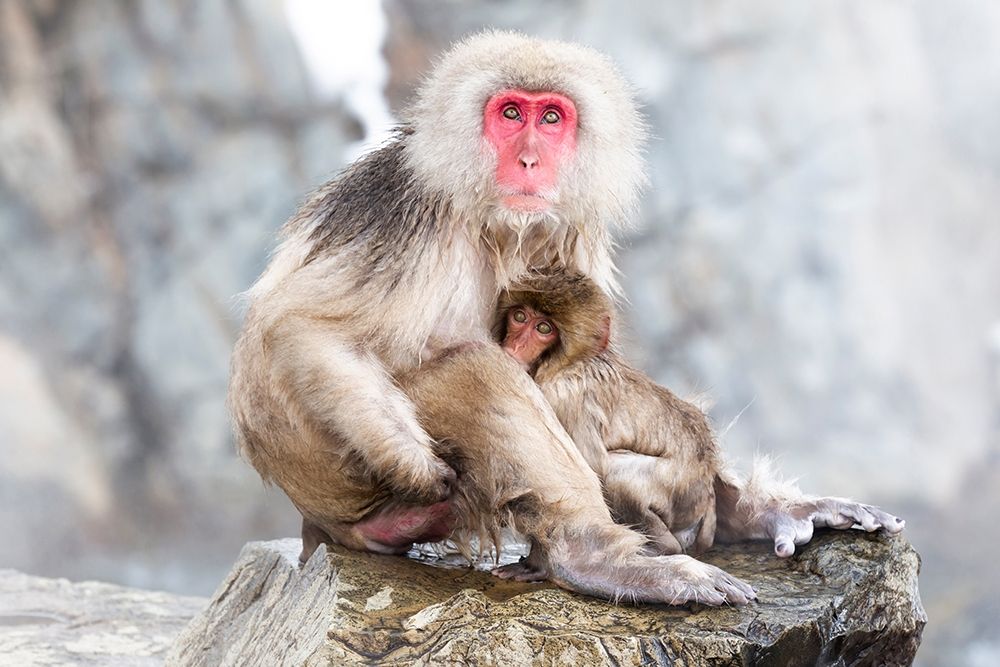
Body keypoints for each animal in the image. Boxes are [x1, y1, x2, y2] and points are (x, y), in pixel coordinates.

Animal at [494, 271, 719, 559]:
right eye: (520, 316)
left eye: (544, 329)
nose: (516, 345)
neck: (564, 363)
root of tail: (708, 486)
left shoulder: (564, 396)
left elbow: (589, 472)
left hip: (681, 494)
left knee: (617, 475)